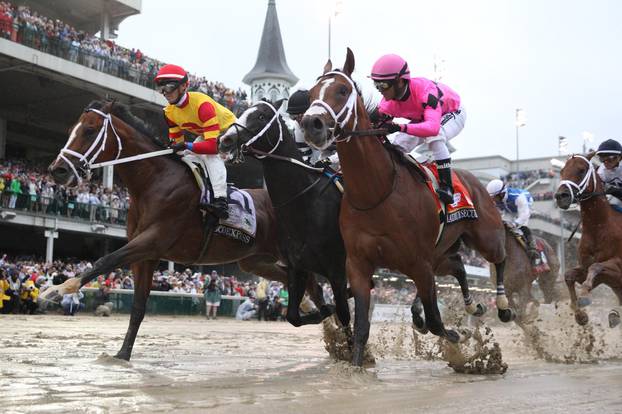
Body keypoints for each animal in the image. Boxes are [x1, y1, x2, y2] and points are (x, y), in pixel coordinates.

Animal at [42, 100, 326, 360]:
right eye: (72, 128)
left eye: (89, 130)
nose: (58, 170)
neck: (154, 182)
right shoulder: (147, 257)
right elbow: (138, 307)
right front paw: (122, 354)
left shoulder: (152, 241)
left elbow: (106, 260)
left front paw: (57, 289)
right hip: (253, 260)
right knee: (297, 280)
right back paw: (313, 308)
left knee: (312, 279)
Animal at [219, 99, 352, 330]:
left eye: (261, 116)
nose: (225, 140)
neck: (306, 203)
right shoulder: (297, 267)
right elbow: (293, 316)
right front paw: (324, 311)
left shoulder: (337, 271)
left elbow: (345, 315)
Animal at [304, 48, 516, 366]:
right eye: (310, 93)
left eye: (341, 90)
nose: (310, 124)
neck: (376, 193)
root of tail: (478, 183)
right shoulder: (359, 264)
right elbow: (362, 327)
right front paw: (356, 367)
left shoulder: (418, 262)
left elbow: (437, 322)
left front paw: (459, 338)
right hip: (440, 252)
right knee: (458, 266)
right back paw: (471, 307)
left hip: (485, 238)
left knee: (499, 258)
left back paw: (501, 306)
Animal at [556, 154, 622, 328]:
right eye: (562, 170)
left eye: (581, 170)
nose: (560, 196)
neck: (598, 229)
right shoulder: (590, 272)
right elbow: (569, 275)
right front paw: (580, 314)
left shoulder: (618, 268)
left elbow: (597, 266)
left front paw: (584, 293)